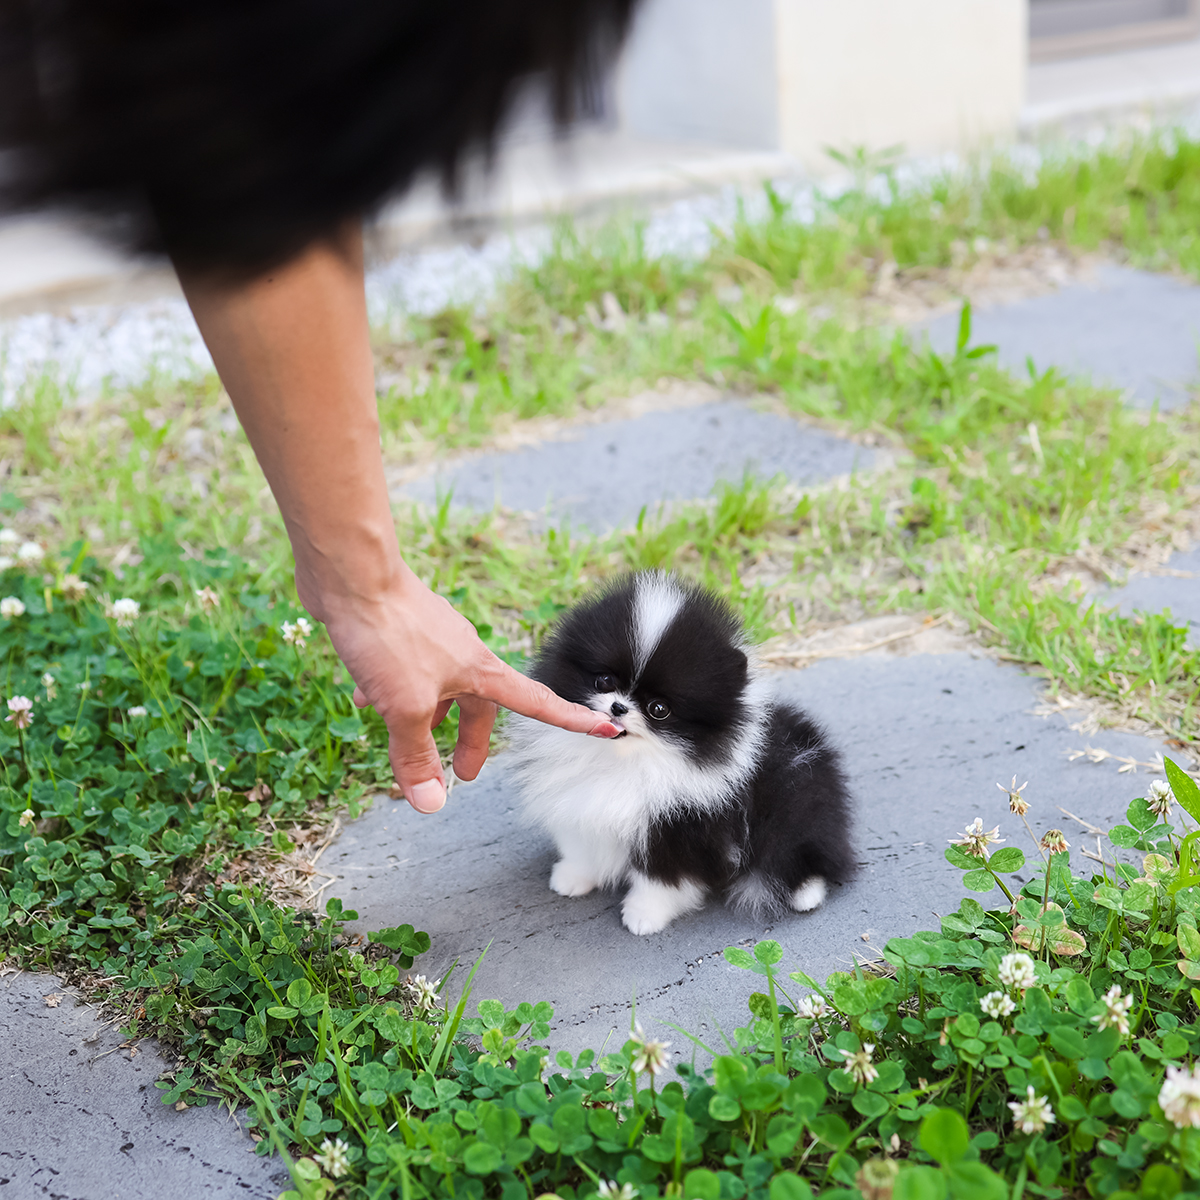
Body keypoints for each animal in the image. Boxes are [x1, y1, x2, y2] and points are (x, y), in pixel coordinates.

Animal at [506, 571, 854, 936]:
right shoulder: (582, 804)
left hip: (792, 806)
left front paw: (643, 915)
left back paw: (806, 893)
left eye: (659, 709)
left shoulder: (678, 828)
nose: (618, 707)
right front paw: (574, 877)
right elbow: (583, 846)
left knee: (799, 850)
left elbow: (659, 880)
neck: (627, 761)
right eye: (603, 681)